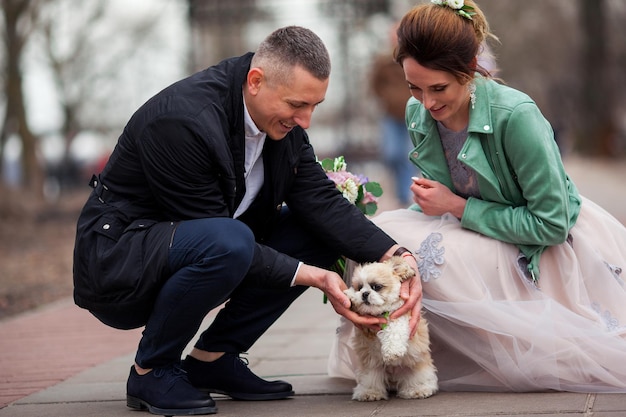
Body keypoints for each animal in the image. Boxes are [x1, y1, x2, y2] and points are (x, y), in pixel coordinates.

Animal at [344, 255, 436, 402]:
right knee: (371, 379)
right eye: (359, 287)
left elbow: (394, 331)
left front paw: (392, 351)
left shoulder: (400, 316)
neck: (382, 313)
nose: (364, 294)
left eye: (376, 287)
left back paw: (417, 390)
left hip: (415, 365)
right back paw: (369, 392)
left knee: (417, 378)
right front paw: (351, 296)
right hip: (372, 366)